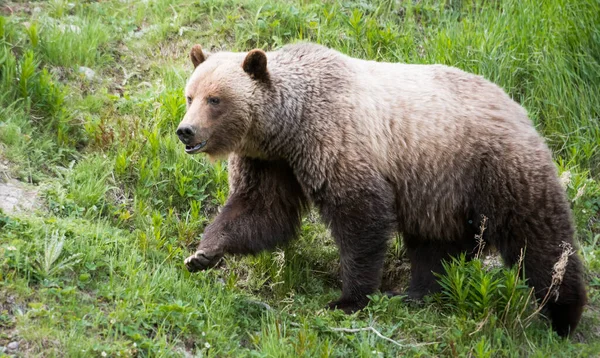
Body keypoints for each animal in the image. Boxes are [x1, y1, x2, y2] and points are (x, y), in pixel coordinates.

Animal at [175, 43, 584, 338]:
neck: (288, 128)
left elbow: (360, 216)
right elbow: (260, 210)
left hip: (493, 166)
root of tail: (518, 106)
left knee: (538, 238)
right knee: (436, 244)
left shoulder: (335, 141)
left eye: (215, 99)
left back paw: (564, 315)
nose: (185, 131)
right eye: (190, 95)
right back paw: (418, 292)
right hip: (438, 187)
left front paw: (348, 299)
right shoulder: (272, 163)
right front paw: (202, 254)